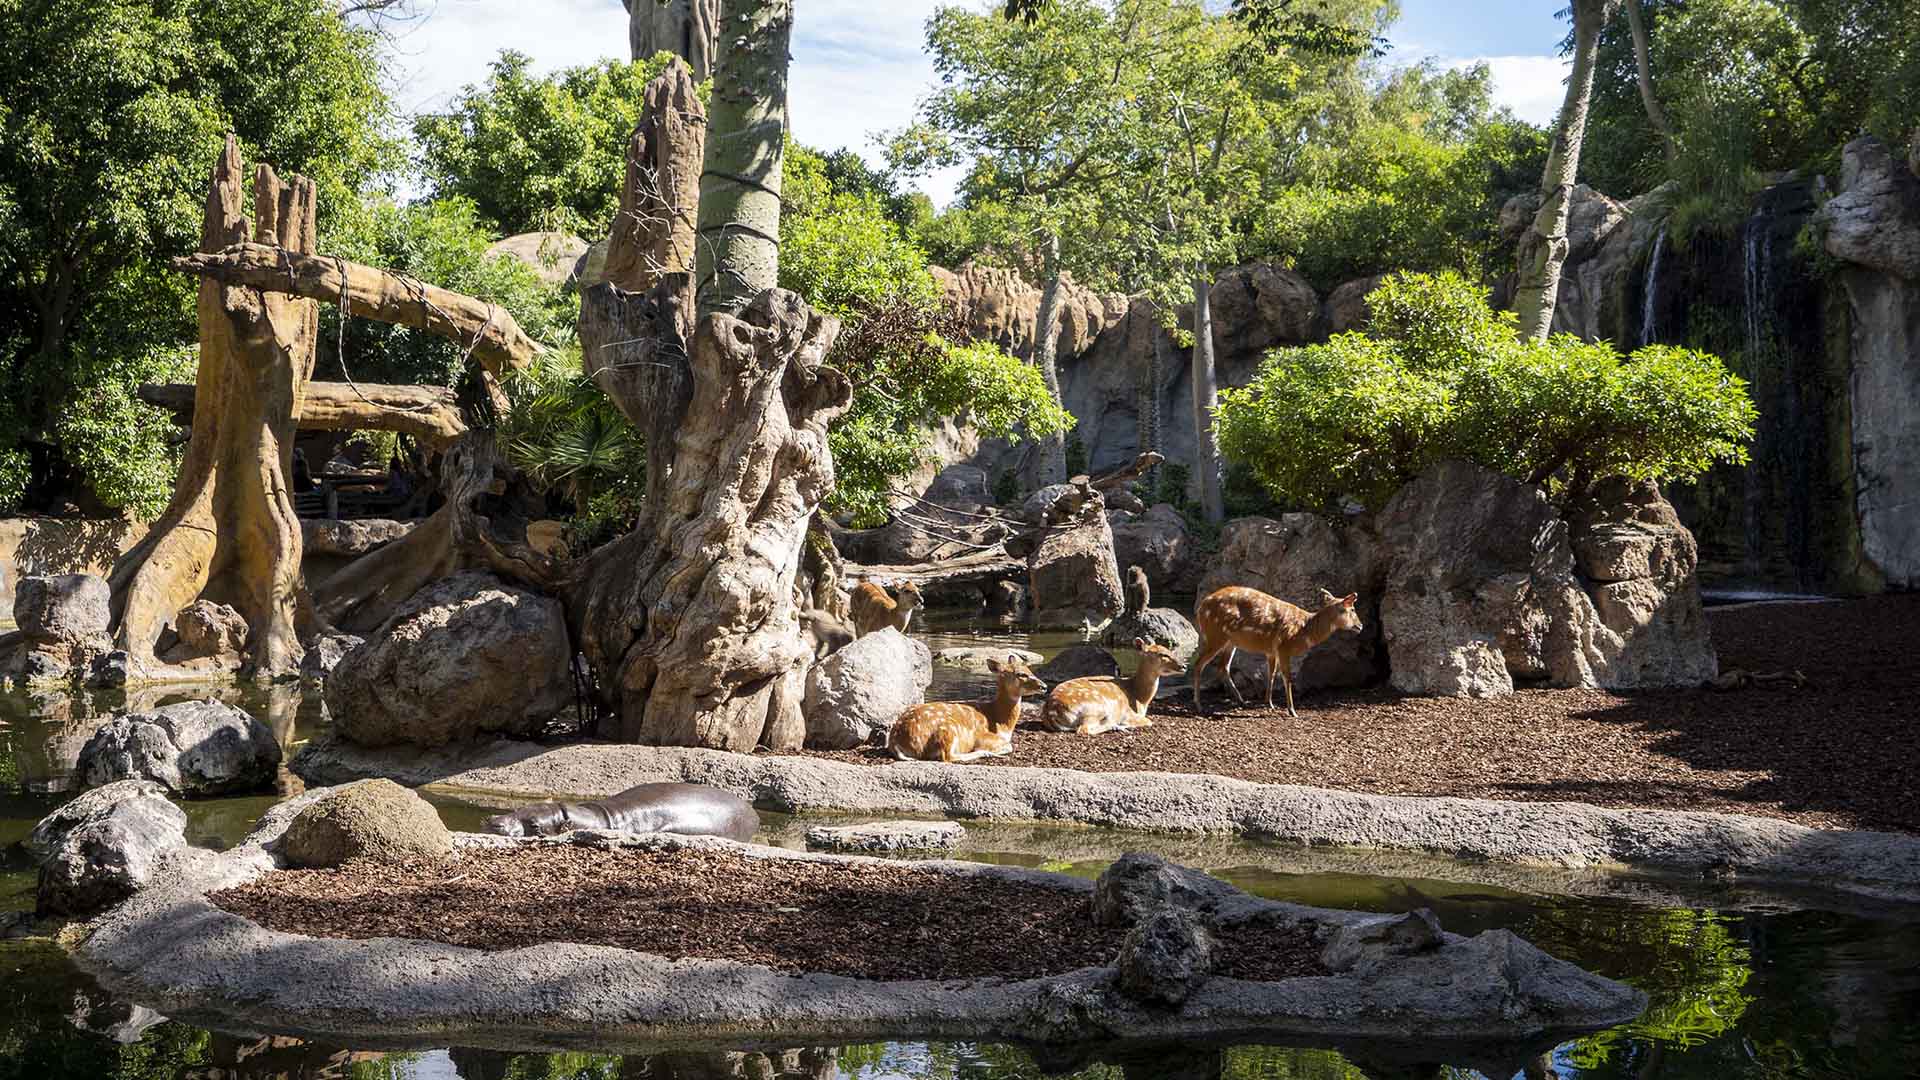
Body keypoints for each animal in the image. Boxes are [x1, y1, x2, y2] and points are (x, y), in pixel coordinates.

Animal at [887, 653, 1052, 760]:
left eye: (1029, 670)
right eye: (1020, 674)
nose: (1044, 686)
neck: (1001, 723)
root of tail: (896, 741)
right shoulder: (983, 737)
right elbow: (1009, 746)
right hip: (948, 731)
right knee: (948, 757)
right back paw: (985, 753)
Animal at [1036, 638, 1182, 730]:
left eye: (1170, 651)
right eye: (1162, 654)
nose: (1183, 666)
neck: (1140, 699)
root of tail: (1051, 711)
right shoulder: (1129, 713)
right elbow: (1149, 721)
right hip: (1095, 707)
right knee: (1084, 729)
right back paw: (1116, 726)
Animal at [1182, 580, 1367, 714]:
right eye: (1352, 609)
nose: (1360, 626)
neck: (1303, 631)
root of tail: (1200, 609)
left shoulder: (1271, 650)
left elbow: (1271, 674)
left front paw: (1269, 704)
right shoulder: (1284, 647)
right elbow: (1287, 677)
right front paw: (1292, 711)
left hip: (1230, 641)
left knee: (1223, 667)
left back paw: (1242, 701)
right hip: (1215, 636)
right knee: (1198, 664)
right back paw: (1199, 706)